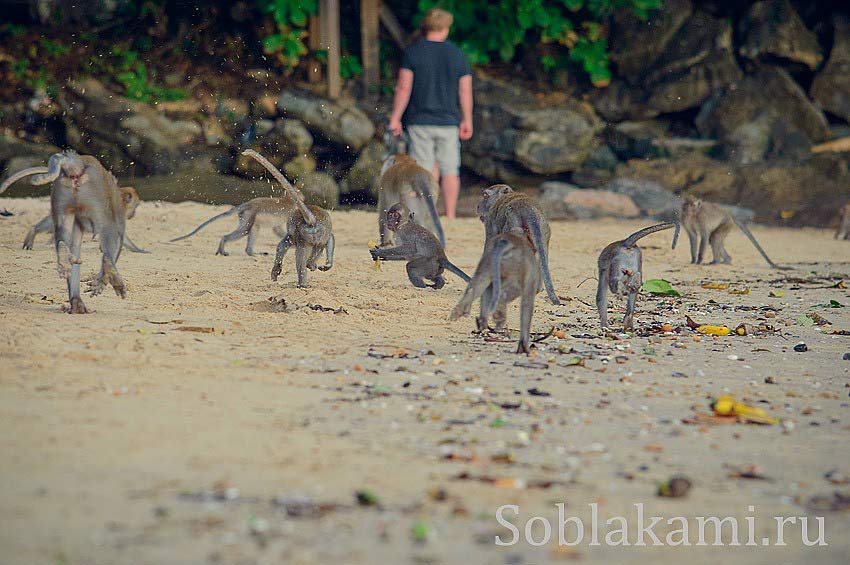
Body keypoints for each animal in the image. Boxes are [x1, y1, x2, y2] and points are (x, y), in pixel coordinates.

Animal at [0, 150, 129, 312]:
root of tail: (78, 164)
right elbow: (115, 240)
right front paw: (102, 280)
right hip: (95, 192)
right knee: (108, 229)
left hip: (63, 191)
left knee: (64, 230)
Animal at [169, 194, 302, 256]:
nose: (303, 199)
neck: (288, 200)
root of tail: (247, 204)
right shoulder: (292, 213)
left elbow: (276, 229)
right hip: (249, 214)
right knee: (245, 230)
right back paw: (225, 245)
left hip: (246, 215)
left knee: (253, 229)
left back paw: (250, 252)